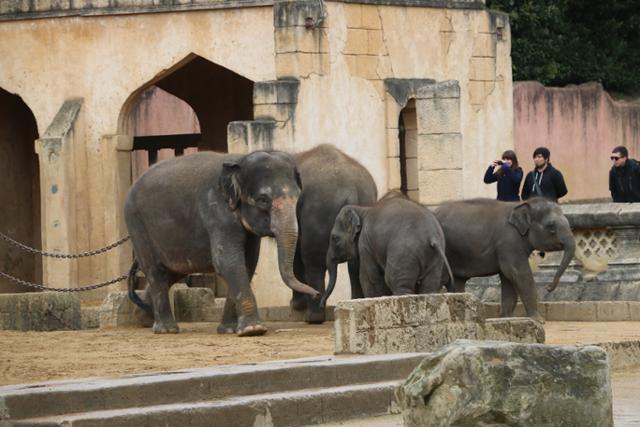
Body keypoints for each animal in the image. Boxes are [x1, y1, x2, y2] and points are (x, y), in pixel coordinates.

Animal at [125, 152, 320, 336]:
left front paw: (230, 330)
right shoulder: (216, 210)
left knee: (172, 273)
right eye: (263, 200)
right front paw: (253, 330)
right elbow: (228, 262)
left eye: (297, 198)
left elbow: (248, 263)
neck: (240, 161)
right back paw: (166, 329)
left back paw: (143, 318)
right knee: (155, 271)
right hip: (137, 225)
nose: (316, 294)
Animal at [288, 145, 378, 322]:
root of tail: (350, 187)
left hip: (318, 211)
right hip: (366, 201)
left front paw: (296, 306)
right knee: (355, 263)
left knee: (313, 261)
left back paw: (312, 318)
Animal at [320, 192, 456, 302]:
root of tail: (431, 236)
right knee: (429, 285)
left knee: (394, 280)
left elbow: (369, 277)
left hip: (403, 254)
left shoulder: (365, 243)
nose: (321, 303)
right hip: (435, 258)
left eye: (334, 238)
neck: (363, 210)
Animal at [436, 199, 576, 322]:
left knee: (456, 283)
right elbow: (519, 274)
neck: (523, 204)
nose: (548, 288)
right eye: (551, 226)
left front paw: (507, 318)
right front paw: (539, 320)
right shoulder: (508, 242)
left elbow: (508, 279)